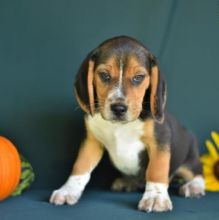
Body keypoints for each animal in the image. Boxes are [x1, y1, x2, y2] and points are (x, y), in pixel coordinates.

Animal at [50, 35, 205, 211]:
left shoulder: (160, 140)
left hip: (189, 159)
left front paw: (155, 197)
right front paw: (68, 190)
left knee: (197, 173)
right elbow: (80, 166)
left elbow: (156, 169)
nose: (119, 108)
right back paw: (128, 182)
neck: (119, 126)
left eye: (138, 77)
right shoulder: (91, 141)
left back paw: (194, 186)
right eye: (104, 75)